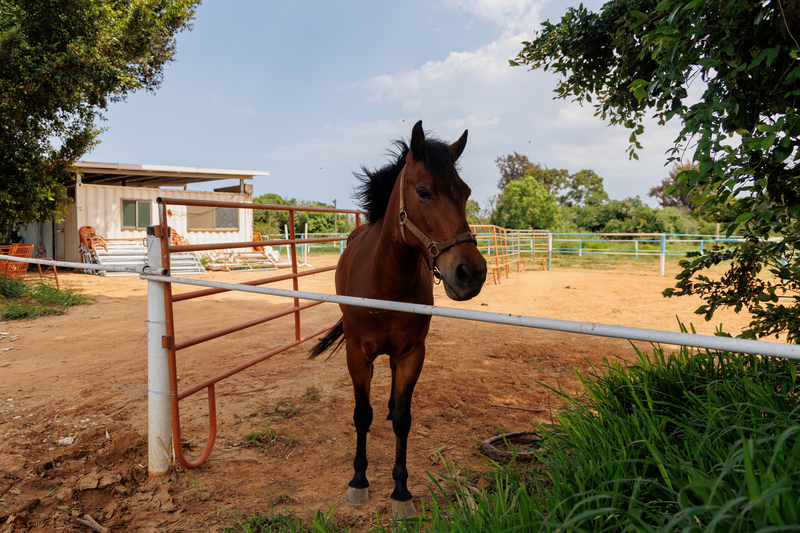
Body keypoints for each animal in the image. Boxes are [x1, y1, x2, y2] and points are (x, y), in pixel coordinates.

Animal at [310, 120, 488, 516]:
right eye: (423, 191)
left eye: (466, 192)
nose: (471, 273)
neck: (385, 281)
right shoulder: (357, 353)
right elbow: (362, 414)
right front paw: (359, 482)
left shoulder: (412, 353)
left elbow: (406, 419)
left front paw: (401, 490)